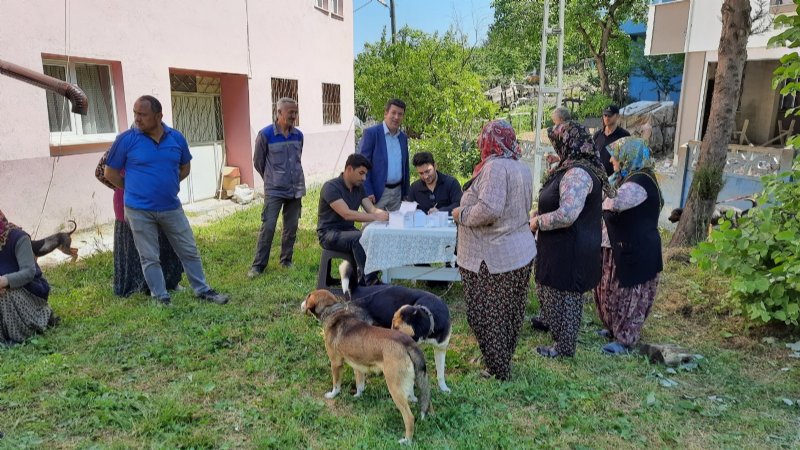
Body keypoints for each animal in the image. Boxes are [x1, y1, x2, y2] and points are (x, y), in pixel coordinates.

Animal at [302, 288, 432, 442]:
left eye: (308, 296)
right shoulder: (358, 365)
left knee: (409, 417)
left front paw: (332, 395)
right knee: (421, 400)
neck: (333, 311)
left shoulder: (336, 362)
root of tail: (407, 343)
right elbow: (360, 384)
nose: (301, 304)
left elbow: (336, 385)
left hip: (394, 387)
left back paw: (407, 440)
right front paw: (358, 395)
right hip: (411, 381)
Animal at [338, 262, 450, 392]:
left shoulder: (441, 348)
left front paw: (444, 388)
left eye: (397, 329)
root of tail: (357, 289)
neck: (429, 315)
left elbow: (440, 373)